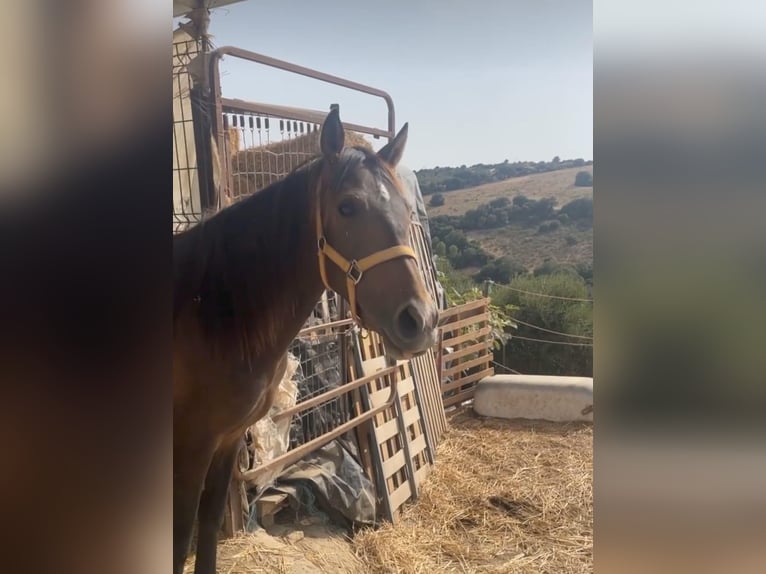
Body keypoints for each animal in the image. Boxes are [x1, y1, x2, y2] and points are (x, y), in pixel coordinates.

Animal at [173, 108, 438, 574]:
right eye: (347, 206)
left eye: (408, 209)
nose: (420, 320)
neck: (209, 312)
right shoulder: (191, 446)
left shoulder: (226, 442)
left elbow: (206, 529)